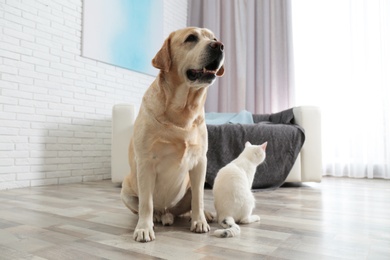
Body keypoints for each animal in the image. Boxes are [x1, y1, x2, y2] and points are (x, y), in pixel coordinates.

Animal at [122, 27, 225, 243]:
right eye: (191, 38)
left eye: (213, 38)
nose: (219, 45)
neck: (182, 112)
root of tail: (167, 211)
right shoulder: (145, 162)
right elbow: (146, 203)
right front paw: (144, 228)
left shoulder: (200, 161)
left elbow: (199, 198)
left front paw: (199, 221)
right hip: (126, 190)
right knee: (149, 207)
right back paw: (158, 217)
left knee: (191, 201)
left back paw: (203, 215)